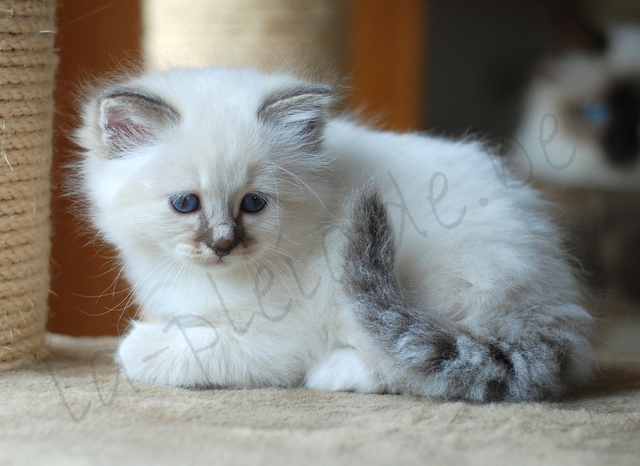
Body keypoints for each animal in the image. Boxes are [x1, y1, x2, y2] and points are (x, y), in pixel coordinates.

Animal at [76, 65, 596, 400]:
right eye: (186, 204)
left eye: (254, 204)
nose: (223, 244)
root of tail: (554, 307)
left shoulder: (277, 336)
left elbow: (185, 349)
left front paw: (138, 347)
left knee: (424, 362)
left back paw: (336, 372)